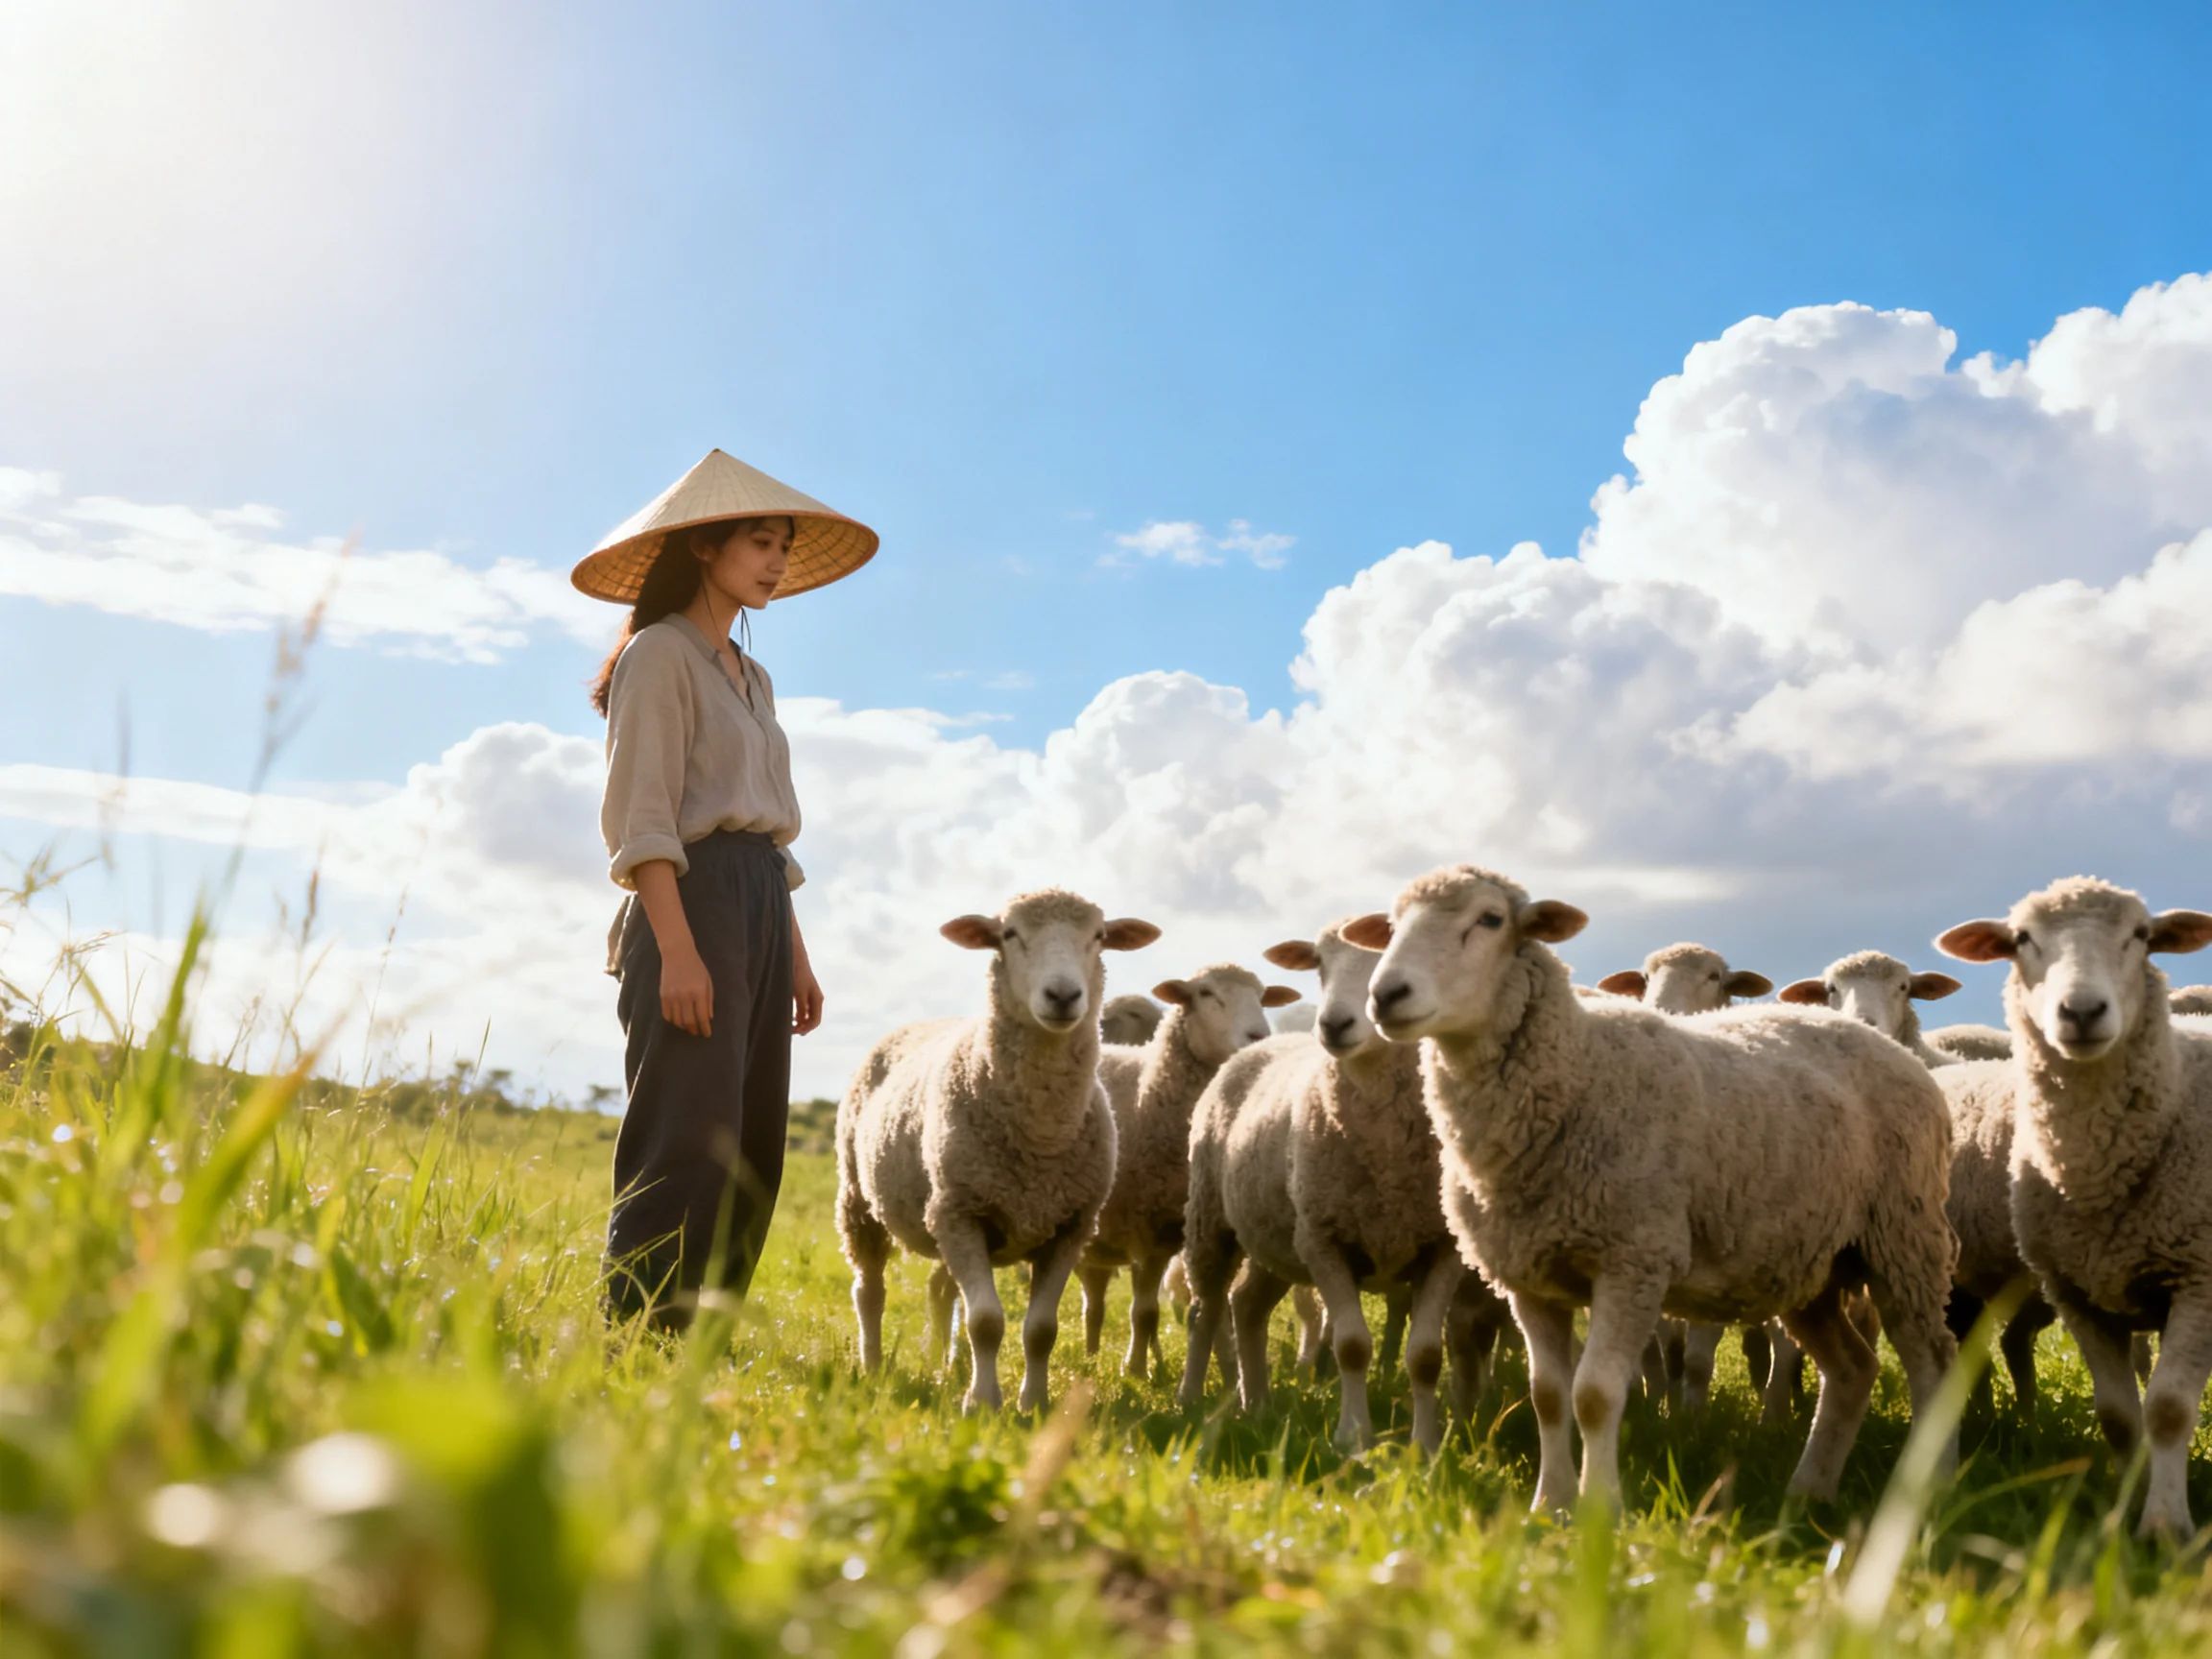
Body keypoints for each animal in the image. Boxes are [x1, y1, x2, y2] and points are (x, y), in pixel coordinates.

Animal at [837, 889, 1159, 1413]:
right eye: (1009, 933)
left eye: (1099, 936)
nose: (1063, 996)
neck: (1041, 1136)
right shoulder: (961, 1214)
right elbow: (985, 1322)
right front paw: (983, 1403)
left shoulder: (1070, 1226)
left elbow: (1041, 1329)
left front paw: (1034, 1403)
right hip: (860, 1201)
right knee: (870, 1290)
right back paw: (872, 1364)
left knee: (943, 1291)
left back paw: (950, 1366)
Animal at [1077, 965, 1299, 1375]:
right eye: (1205, 993)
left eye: (1262, 997)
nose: (1258, 1035)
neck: (1149, 1092)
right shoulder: (1150, 1233)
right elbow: (1145, 1313)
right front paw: (1135, 1371)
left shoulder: (1183, 1230)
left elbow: (1214, 1310)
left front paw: (1227, 1368)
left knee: (1095, 1302)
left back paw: (1101, 1358)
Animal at [1349, 865, 1959, 1511]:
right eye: (1391, 926)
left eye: (1490, 919)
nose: (1385, 995)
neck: (1576, 1070)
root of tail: (1890, 1048)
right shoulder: (1528, 1276)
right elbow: (1547, 1395)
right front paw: (1549, 1505)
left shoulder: (1633, 1260)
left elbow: (1594, 1394)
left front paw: (1598, 1510)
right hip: (1811, 1261)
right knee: (1853, 1370)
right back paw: (1807, 1492)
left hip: (1904, 1238)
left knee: (1933, 1362)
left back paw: (1933, 1484)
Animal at [1936, 877, 2212, 1537]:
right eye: (2021, 938)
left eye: (2141, 935)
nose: (2082, 1012)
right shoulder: (2077, 1293)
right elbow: (2118, 1415)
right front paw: (2123, 1513)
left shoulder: (2200, 1279)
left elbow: (2167, 1409)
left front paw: (2165, 1528)